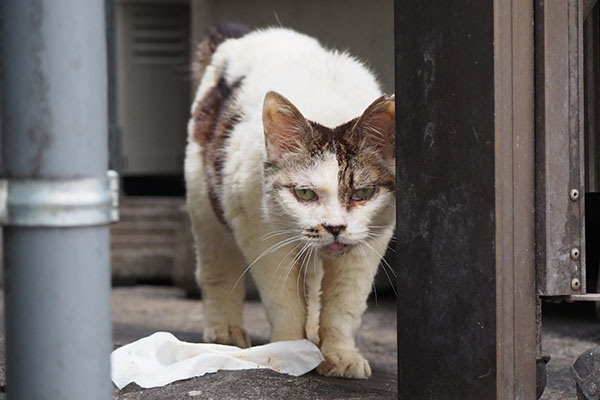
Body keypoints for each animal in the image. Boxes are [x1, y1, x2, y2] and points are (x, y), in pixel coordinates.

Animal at [185, 23, 396, 380]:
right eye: (305, 193)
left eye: (362, 194)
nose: (335, 227)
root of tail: (239, 36)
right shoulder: (262, 236)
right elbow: (284, 301)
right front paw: (288, 351)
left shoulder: (371, 241)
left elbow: (344, 304)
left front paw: (340, 355)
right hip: (205, 205)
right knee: (216, 271)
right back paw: (224, 331)